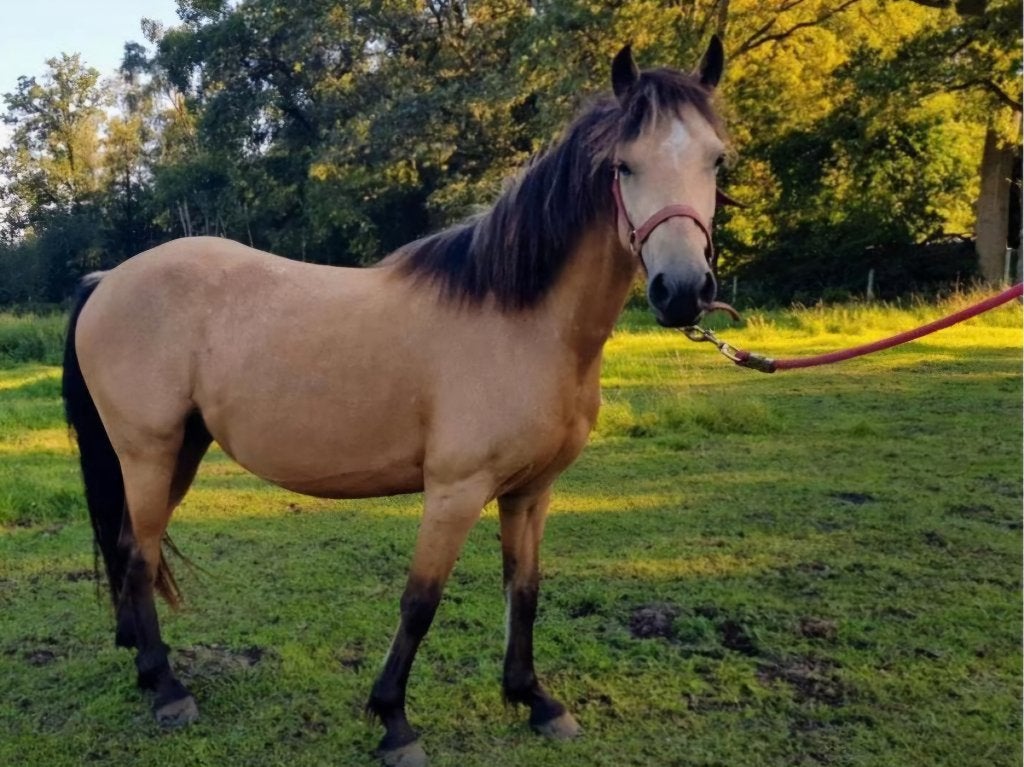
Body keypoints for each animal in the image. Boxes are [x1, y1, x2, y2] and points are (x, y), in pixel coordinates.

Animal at [62, 39, 730, 767]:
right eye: (623, 165)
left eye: (717, 160)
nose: (682, 290)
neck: (521, 320)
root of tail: (107, 279)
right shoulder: (455, 490)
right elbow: (420, 601)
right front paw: (394, 720)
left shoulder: (532, 491)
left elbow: (523, 590)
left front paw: (534, 699)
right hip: (148, 452)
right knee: (138, 555)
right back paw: (166, 689)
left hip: (180, 450)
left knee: (132, 547)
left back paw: (142, 663)